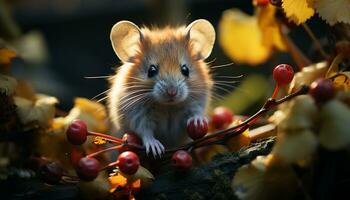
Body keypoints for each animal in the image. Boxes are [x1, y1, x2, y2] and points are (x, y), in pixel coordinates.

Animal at [108, 19, 215, 156]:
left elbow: (196, 111)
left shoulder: (197, 101)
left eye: (185, 69)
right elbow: (145, 132)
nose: (172, 92)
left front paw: (198, 121)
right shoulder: (136, 114)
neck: (167, 106)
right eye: (151, 70)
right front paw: (155, 147)